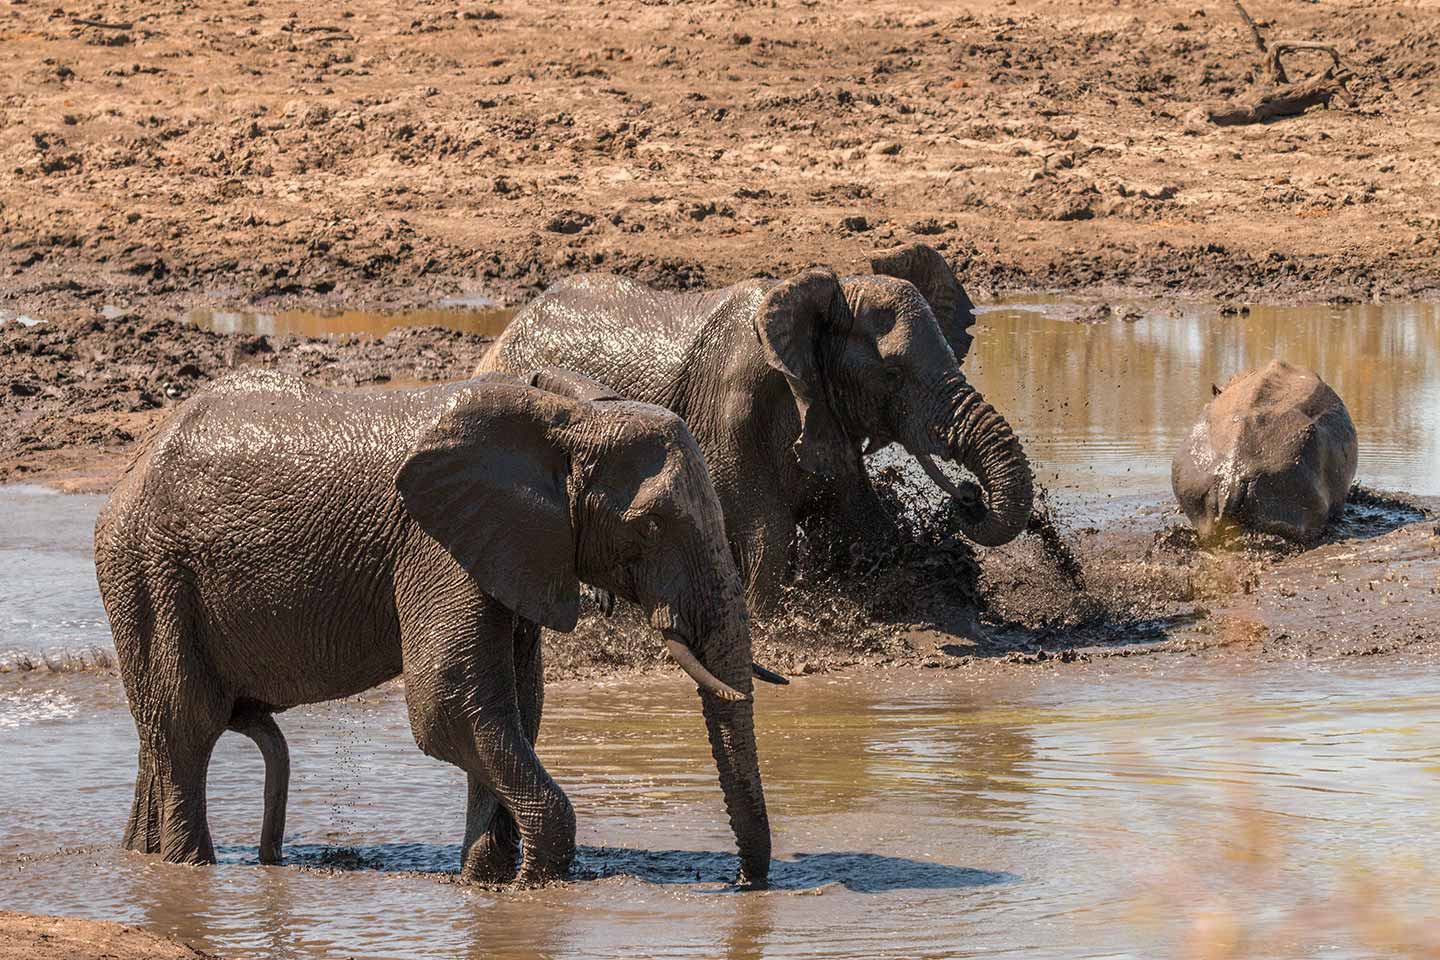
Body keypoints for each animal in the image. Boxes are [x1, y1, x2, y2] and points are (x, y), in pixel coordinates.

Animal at [92, 365, 777, 886]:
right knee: (188, 724)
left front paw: (485, 882)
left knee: (164, 732)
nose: (744, 882)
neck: (566, 415)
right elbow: (448, 701)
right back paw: (188, 869)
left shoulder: (512, 547)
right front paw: (535, 883)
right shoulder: (435, 542)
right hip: (150, 573)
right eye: (653, 525)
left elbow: (514, 706)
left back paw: (146, 858)